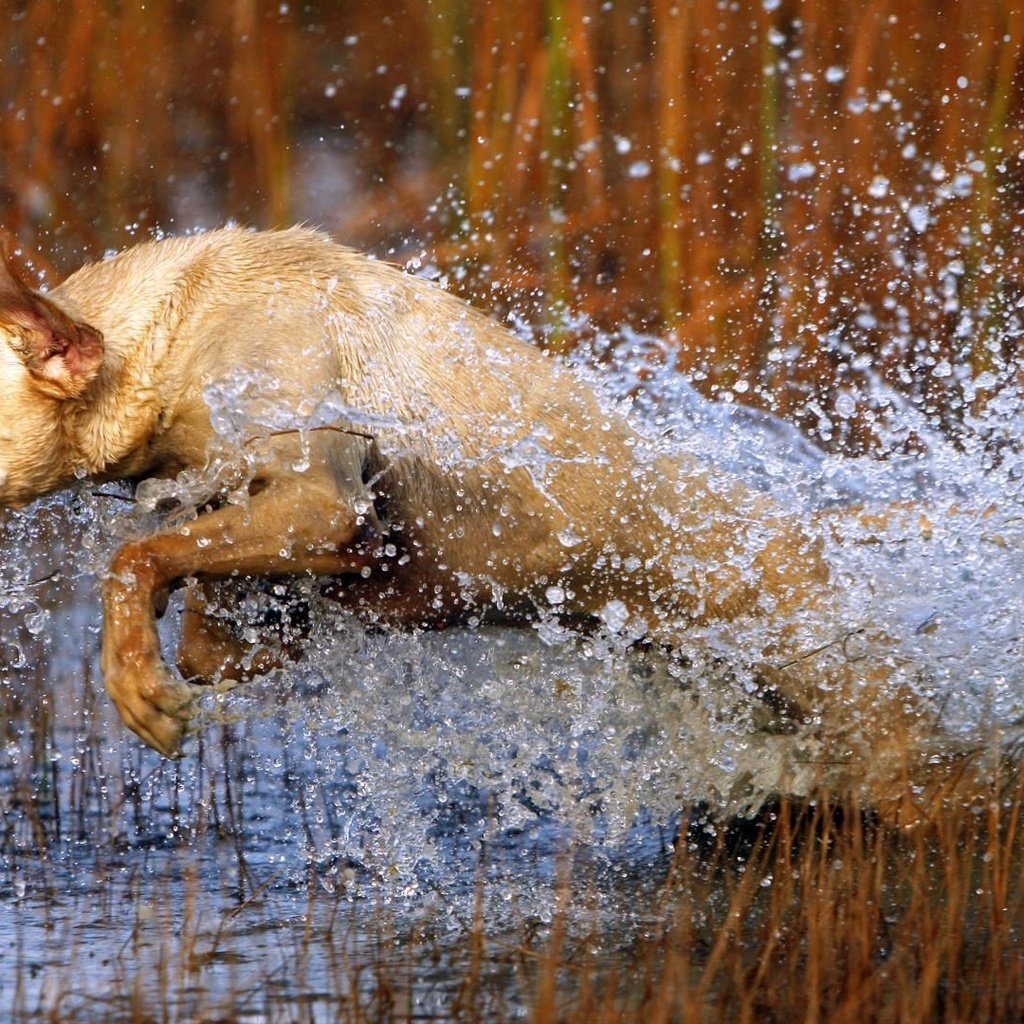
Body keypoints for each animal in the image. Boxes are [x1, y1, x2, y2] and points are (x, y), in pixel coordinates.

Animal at [0, 230, 991, 815]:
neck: (163, 338)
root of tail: (816, 536)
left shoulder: (323, 486)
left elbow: (136, 559)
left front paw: (136, 682)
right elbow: (207, 608)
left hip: (874, 723)